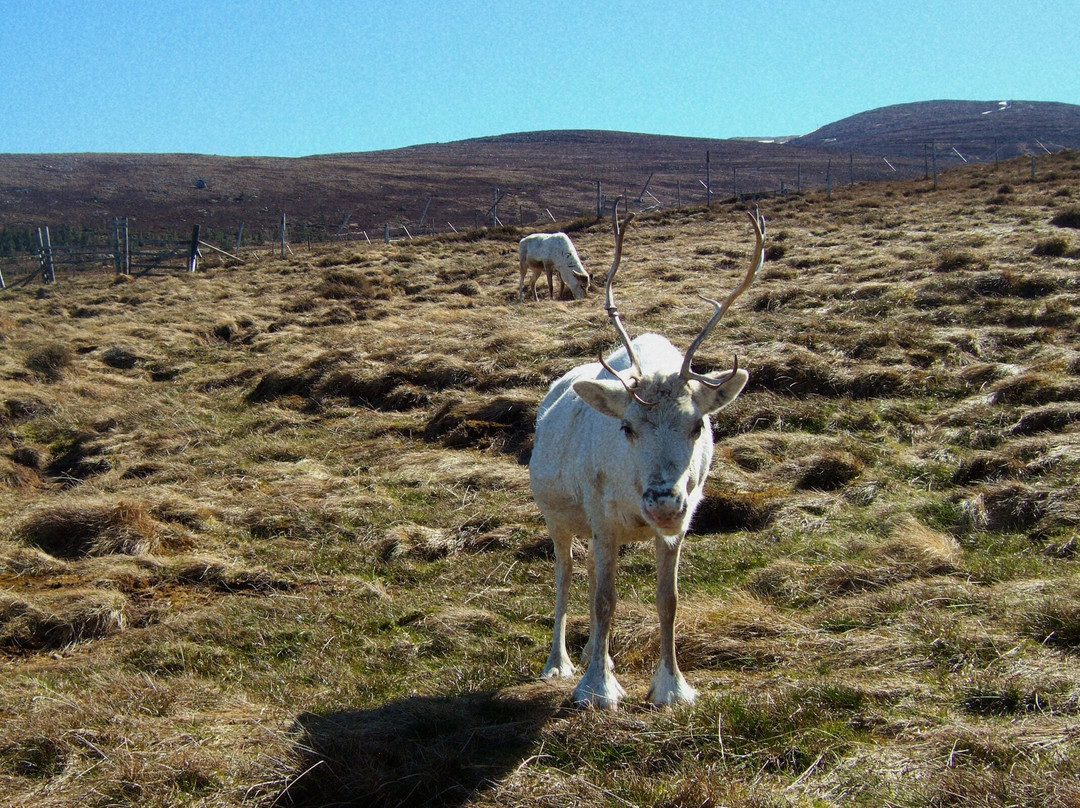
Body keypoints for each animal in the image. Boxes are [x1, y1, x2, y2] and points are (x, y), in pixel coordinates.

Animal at [528, 203, 765, 708]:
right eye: (627, 427)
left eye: (698, 425)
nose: (662, 502)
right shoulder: (602, 518)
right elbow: (605, 600)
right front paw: (596, 689)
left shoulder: (677, 526)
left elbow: (667, 600)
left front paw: (672, 687)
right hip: (558, 517)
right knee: (565, 576)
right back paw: (560, 662)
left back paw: (599, 655)